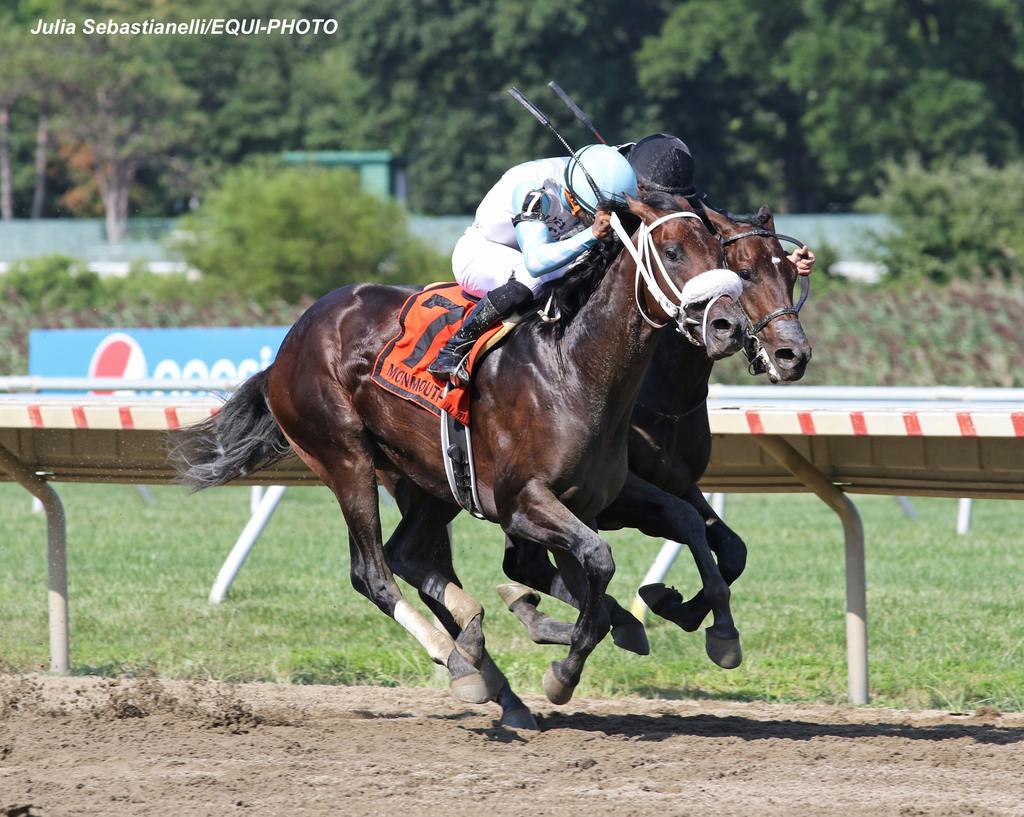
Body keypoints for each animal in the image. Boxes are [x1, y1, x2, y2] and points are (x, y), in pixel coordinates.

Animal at [174, 193, 745, 716]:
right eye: (672, 251)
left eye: (720, 249)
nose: (729, 325)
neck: (573, 369)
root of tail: (288, 346)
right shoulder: (521, 503)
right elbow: (597, 564)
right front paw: (562, 672)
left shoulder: (594, 497)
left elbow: (662, 538)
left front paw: (700, 627)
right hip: (344, 457)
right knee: (373, 572)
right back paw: (459, 661)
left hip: (428, 477)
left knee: (408, 553)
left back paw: (485, 661)